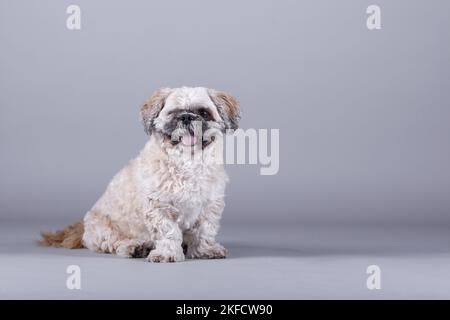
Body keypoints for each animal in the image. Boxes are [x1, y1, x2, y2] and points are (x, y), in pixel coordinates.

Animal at [40, 86, 241, 262]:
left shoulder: (210, 206)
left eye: (204, 112)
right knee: (113, 242)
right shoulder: (158, 206)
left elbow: (204, 231)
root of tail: (82, 228)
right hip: (102, 228)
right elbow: (167, 231)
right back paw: (136, 247)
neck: (186, 162)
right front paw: (167, 253)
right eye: (173, 112)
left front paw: (205, 250)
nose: (186, 117)